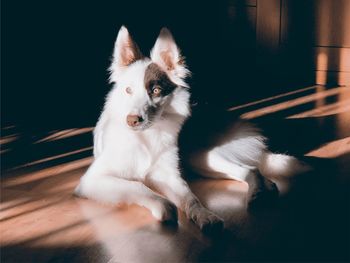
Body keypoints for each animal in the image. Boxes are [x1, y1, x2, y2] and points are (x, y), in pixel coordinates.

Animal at [74, 26, 308, 233]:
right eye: (128, 90)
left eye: (156, 90)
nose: (132, 120)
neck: (147, 137)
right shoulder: (93, 180)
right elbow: (138, 186)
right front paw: (164, 206)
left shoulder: (169, 175)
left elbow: (190, 197)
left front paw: (204, 215)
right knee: (253, 168)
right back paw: (266, 189)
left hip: (199, 156)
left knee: (251, 169)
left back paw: (257, 192)